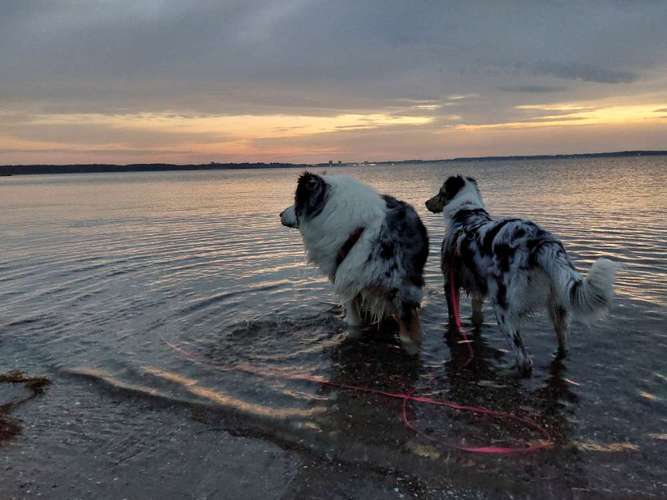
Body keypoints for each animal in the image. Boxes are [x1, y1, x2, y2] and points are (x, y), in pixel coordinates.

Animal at [280, 172, 428, 352]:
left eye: (296, 201)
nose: (280, 214)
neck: (359, 235)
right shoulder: (350, 284)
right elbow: (354, 324)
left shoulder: (405, 293)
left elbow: (409, 338)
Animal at [428, 176, 620, 376]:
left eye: (440, 192)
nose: (426, 203)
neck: (466, 213)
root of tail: (540, 241)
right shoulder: (478, 289)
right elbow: (477, 316)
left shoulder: (450, 282)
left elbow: (453, 317)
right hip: (558, 309)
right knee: (563, 346)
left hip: (503, 310)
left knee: (524, 360)